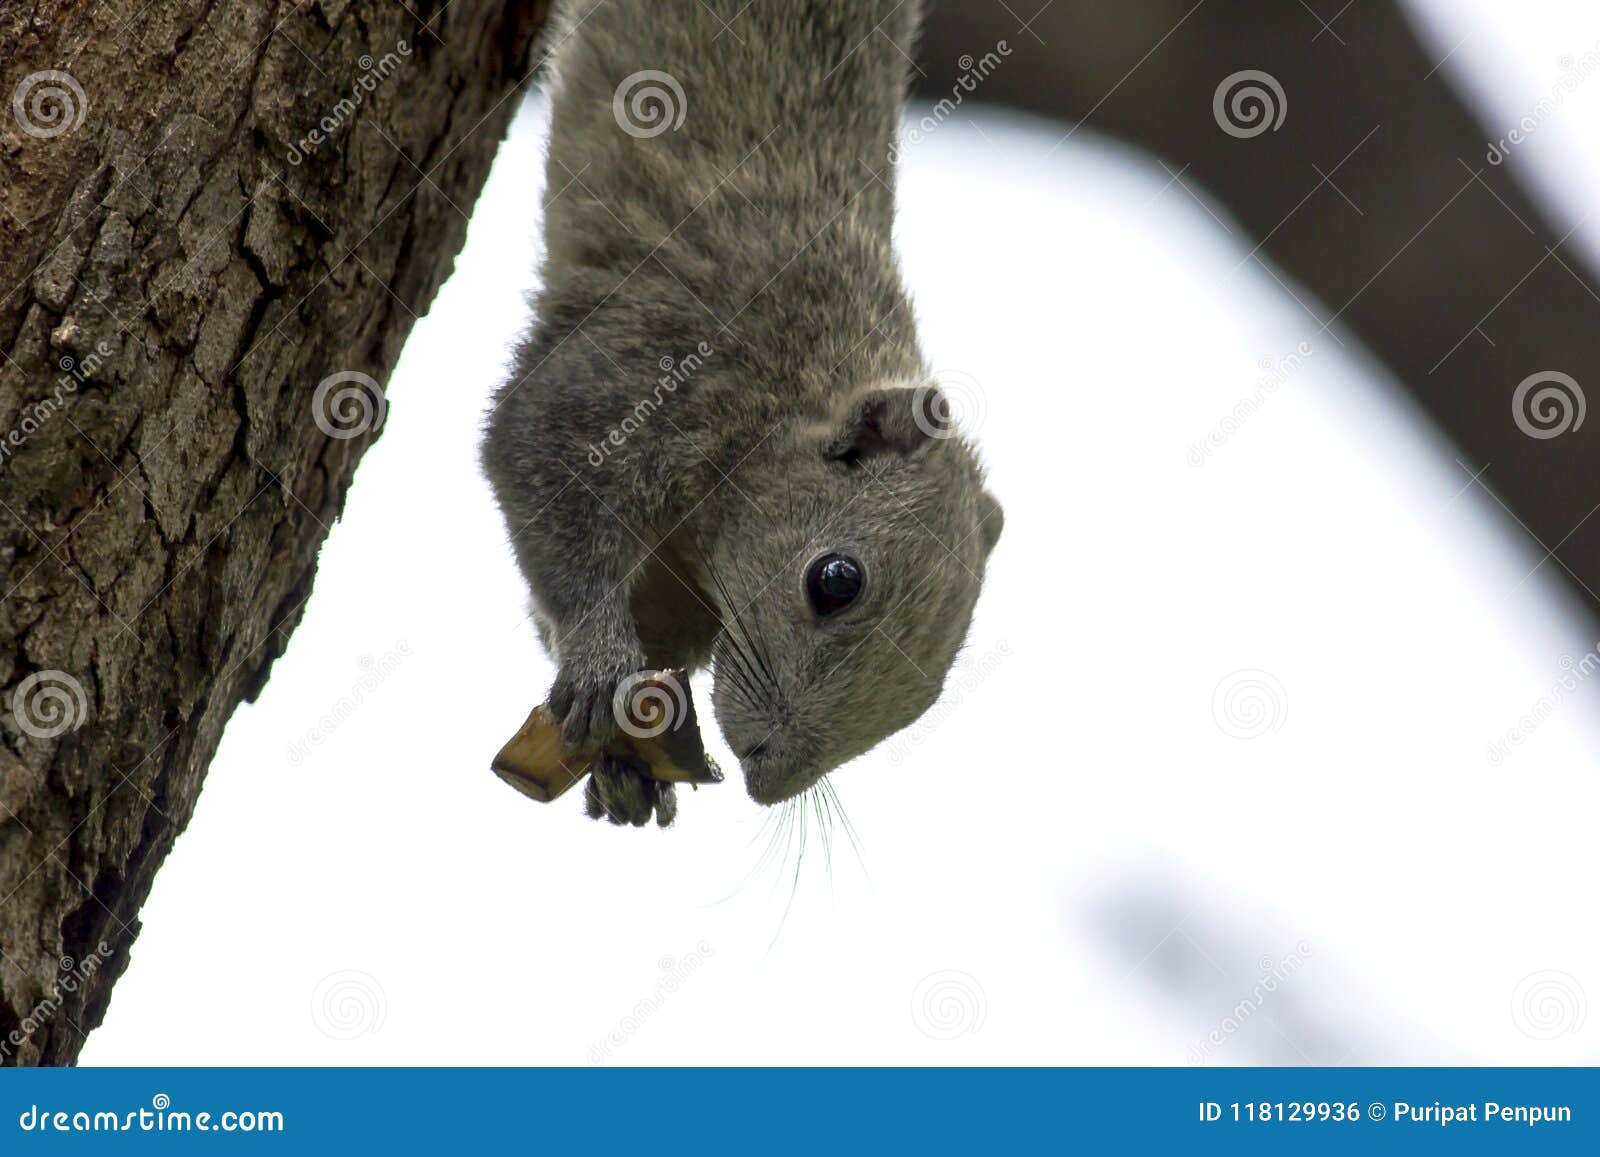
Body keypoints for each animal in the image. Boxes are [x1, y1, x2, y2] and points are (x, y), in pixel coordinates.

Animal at [481, 0, 1003, 827]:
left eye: (934, 687)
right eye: (835, 580)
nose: (768, 778)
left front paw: (628, 766)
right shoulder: (665, 360)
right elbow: (535, 447)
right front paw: (599, 660)